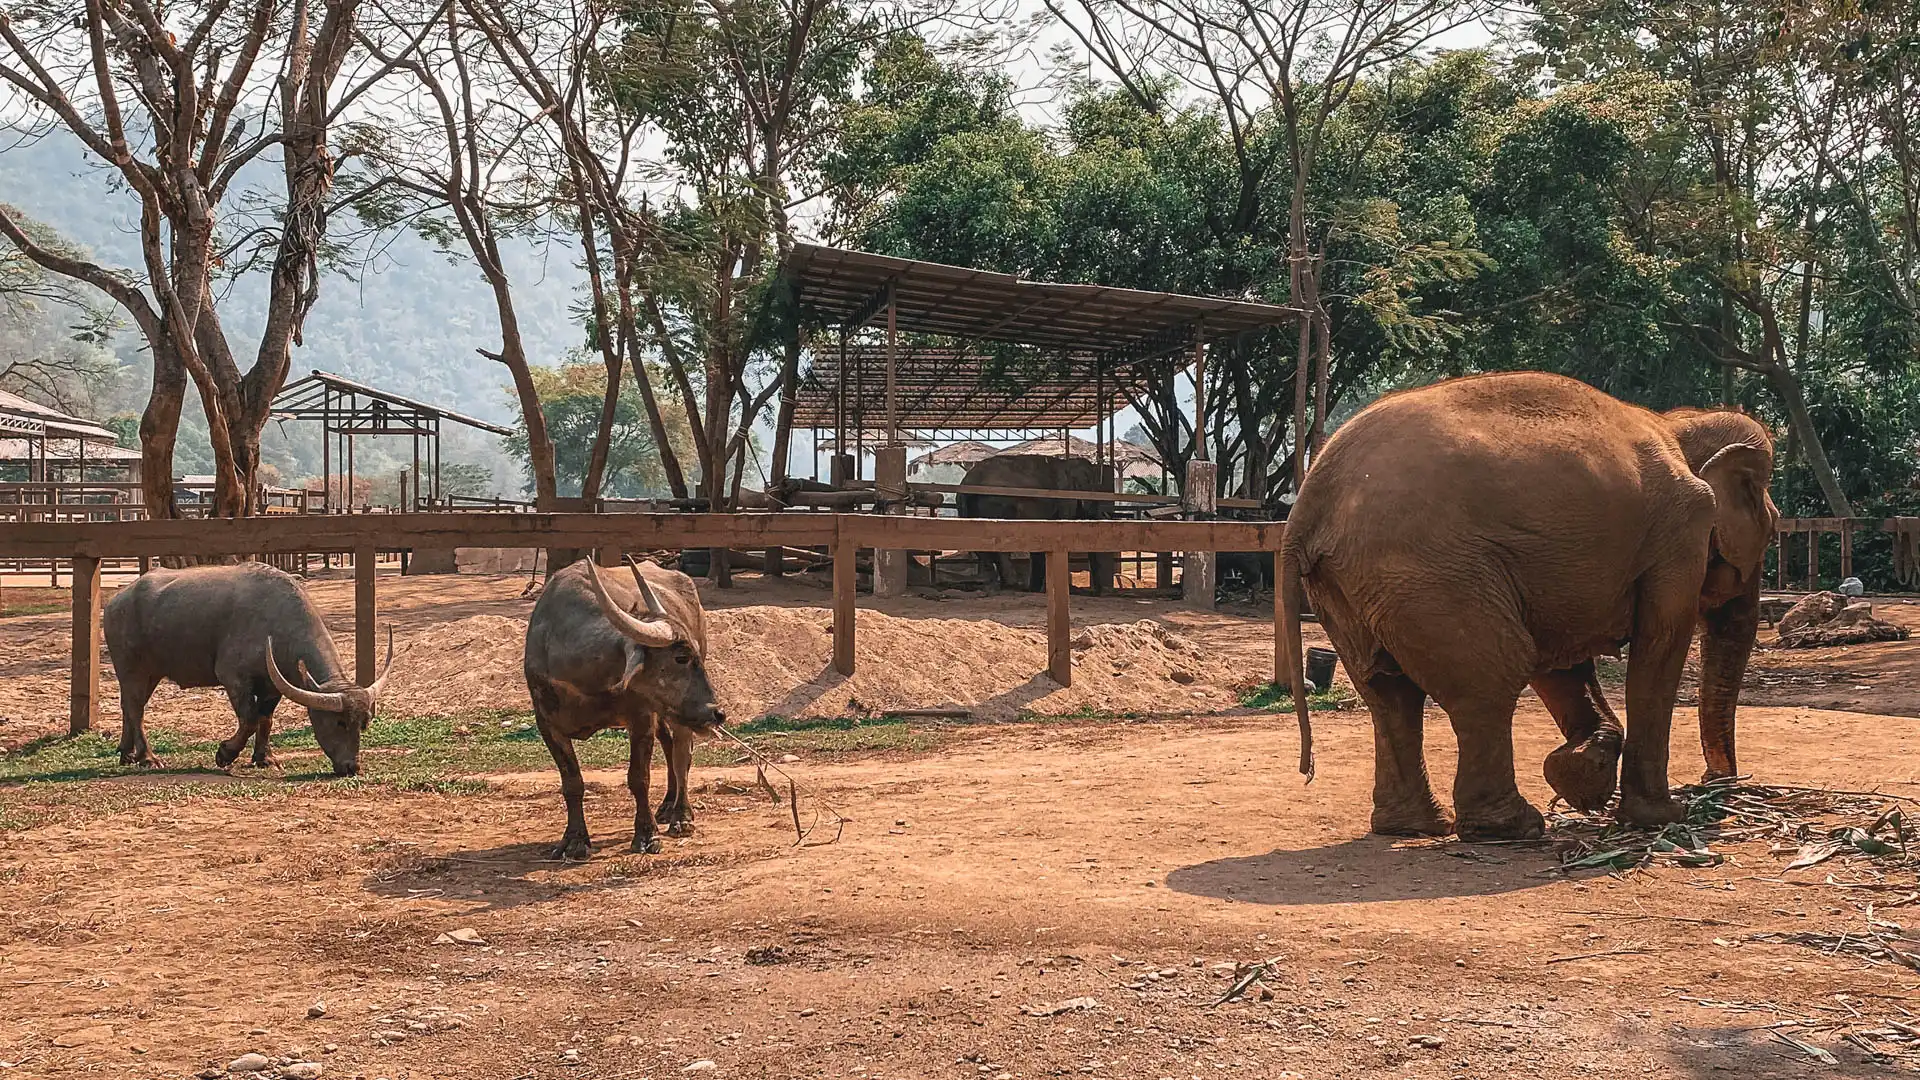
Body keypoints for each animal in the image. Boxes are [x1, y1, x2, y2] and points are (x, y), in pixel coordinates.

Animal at [957, 454, 1117, 595]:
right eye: (1094, 491)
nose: (1098, 592)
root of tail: (968, 480)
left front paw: (1036, 589)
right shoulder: (1064, 499)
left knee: (978, 545)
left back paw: (994, 586)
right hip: (997, 503)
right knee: (997, 543)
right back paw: (1012, 584)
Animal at [1276, 372, 1778, 840]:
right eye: (1771, 531)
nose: (1716, 782)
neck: (1677, 425)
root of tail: (1307, 506)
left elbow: (1559, 657)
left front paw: (1582, 779)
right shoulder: (1680, 533)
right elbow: (1658, 647)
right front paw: (1660, 817)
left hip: (1354, 586)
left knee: (1388, 691)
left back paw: (1415, 828)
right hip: (1431, 575)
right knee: (1491, 675)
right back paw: (1510, 827)